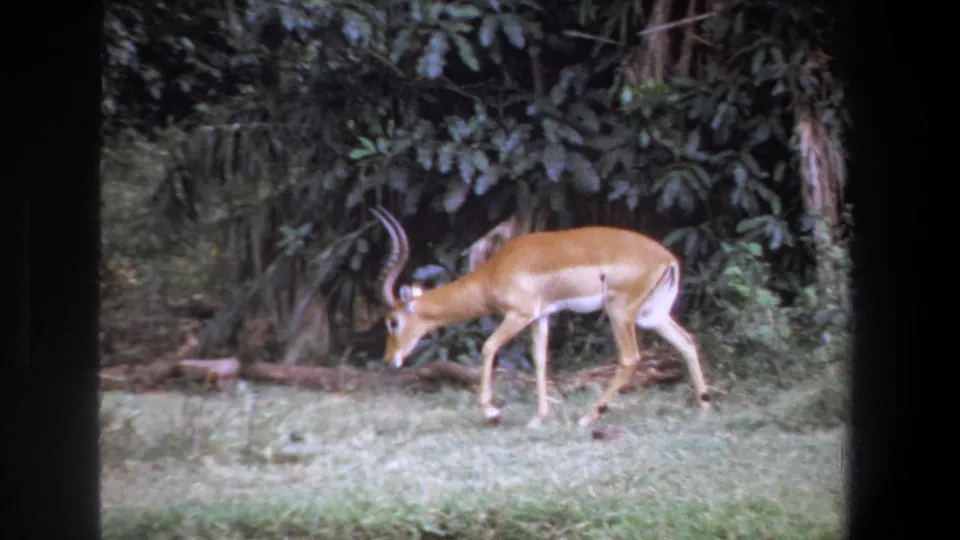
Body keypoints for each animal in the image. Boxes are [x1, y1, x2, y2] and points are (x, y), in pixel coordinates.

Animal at [371, 206, 711, 428]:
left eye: (393, 321)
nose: (389, 360)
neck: (494, 272)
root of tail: (667, 259)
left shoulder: (518, 314)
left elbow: (488, 347)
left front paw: (491, 412)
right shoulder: (540, 317)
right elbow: (540, 360)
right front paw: (538, 418)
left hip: (619, 313)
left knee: (630, 358)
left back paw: (588, 417)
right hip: (651, 316)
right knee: (686, 341)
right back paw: (703, 405)